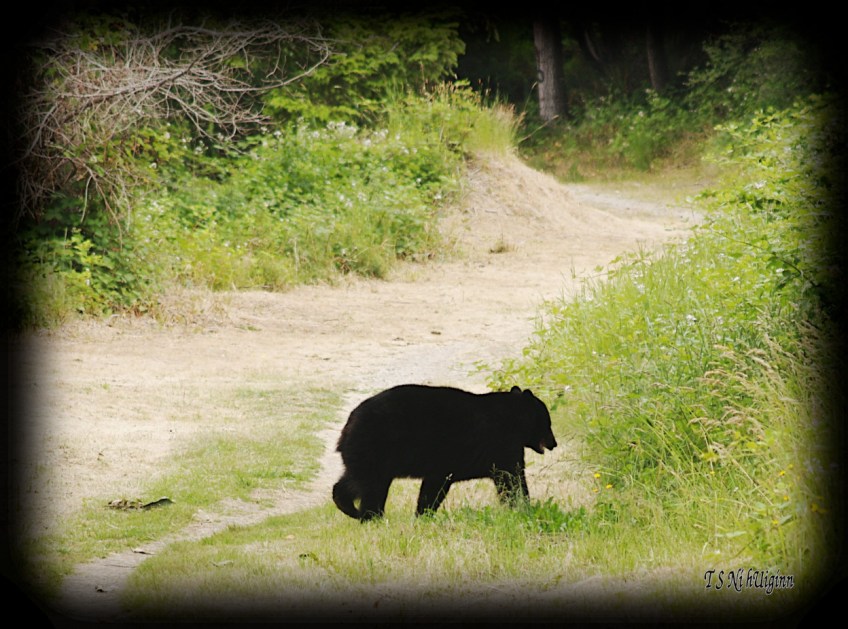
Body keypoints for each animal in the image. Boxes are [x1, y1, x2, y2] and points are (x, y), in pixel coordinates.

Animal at [332, 384, 557, 520]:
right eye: (547, 423)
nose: (554, 443)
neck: (513, 419)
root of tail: (347, 427)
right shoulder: (501, 445)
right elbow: (511, 478)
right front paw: (523, 506)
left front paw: (422, 515)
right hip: (375, 448)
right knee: (371, 487)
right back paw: (371, 516)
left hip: (368, 456)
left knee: (352, 481)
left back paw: (351, 509)